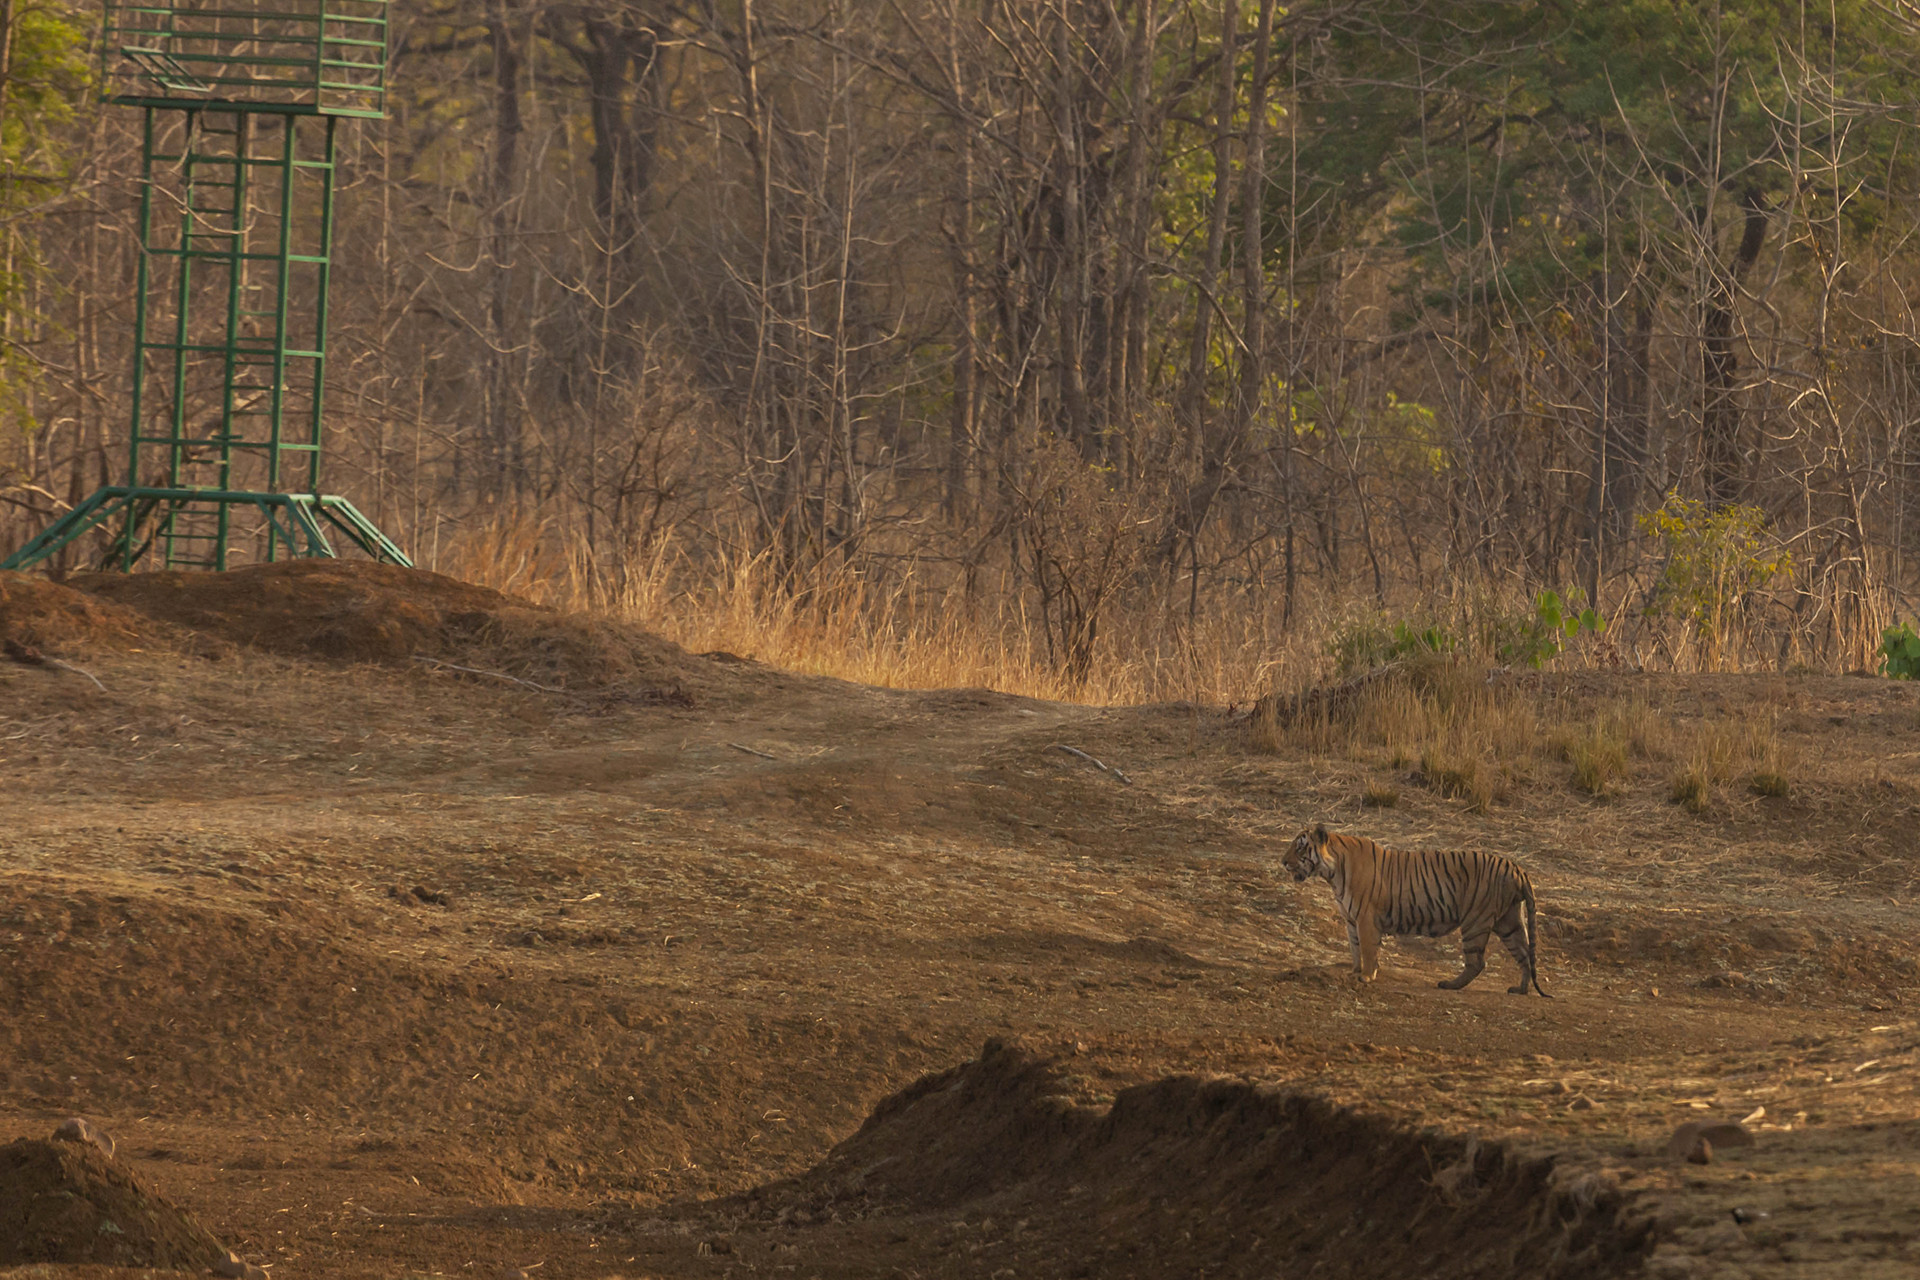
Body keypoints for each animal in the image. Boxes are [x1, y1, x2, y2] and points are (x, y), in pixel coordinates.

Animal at [1281, 824, 1551, 997]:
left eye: (1300, 848)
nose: (1283, 862)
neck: (1332, 874)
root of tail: (1517, 868)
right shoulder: (1351, 921)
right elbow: (1355, 949)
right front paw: (1354, 972)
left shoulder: (1365, 918)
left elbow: (1367, 950)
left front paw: (1366, 976)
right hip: (1509, 921)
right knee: (1524, 955)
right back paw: (1520, 990)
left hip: (1476, 921)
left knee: (1477, 962)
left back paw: (1449, 985)